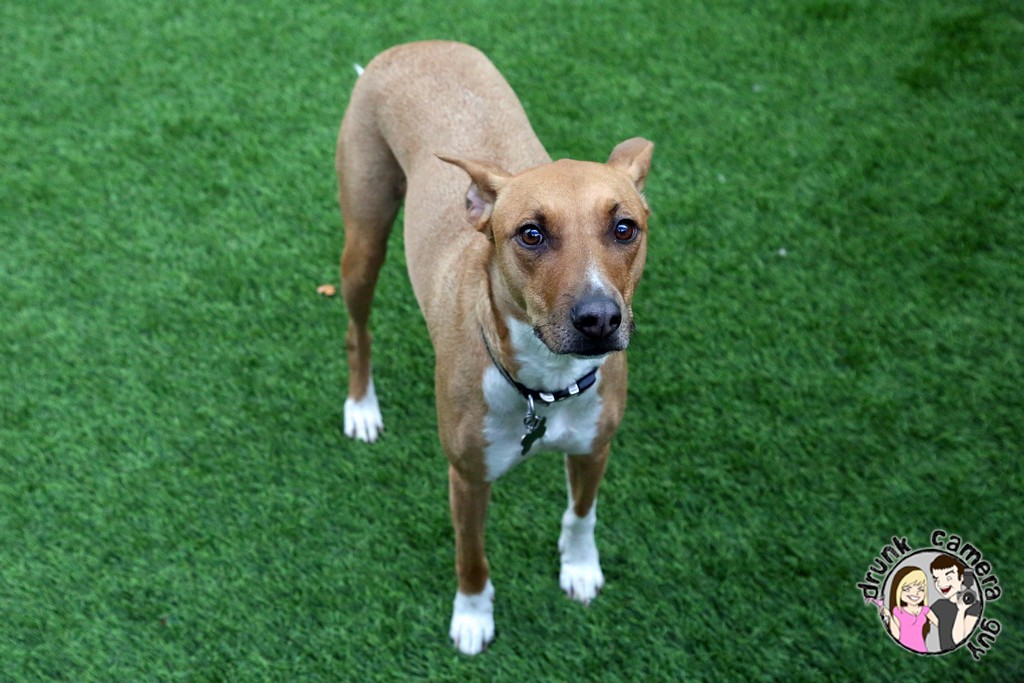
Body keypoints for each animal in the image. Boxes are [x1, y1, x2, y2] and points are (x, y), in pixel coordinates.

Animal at [335, 41, 652, 654]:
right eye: (531, 233)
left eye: (624, 228)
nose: (600, 319)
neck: (546, 385)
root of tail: (412, 45)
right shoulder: (467, 478)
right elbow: (472, 557)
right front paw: (472, 617)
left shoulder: (594, 446)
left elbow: (582, 514)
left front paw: (579, 567)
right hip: (363, 239)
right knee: (357, 332)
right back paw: (361, 407)